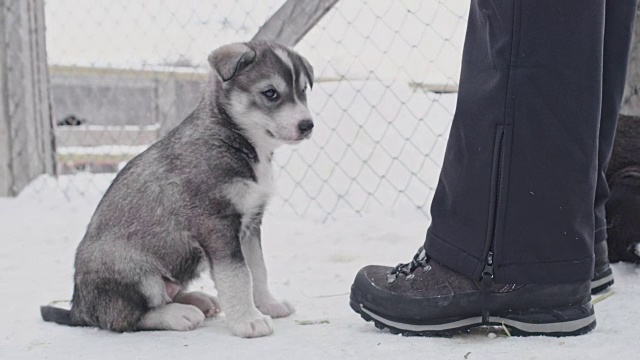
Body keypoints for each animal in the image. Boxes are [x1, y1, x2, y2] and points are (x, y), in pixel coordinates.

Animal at [40, 42, 316, 338]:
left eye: (303, 91)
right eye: (270, 93)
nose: (307, 125)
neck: (234, 139)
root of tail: (78, 308)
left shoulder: (251, 224)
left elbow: (258, 269)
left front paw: (268, 305)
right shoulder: (217, 225)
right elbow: (238, 276)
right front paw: (248, 321)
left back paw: (198, 300)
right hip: (135, 271)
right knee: (124, 318)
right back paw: (179, 314)